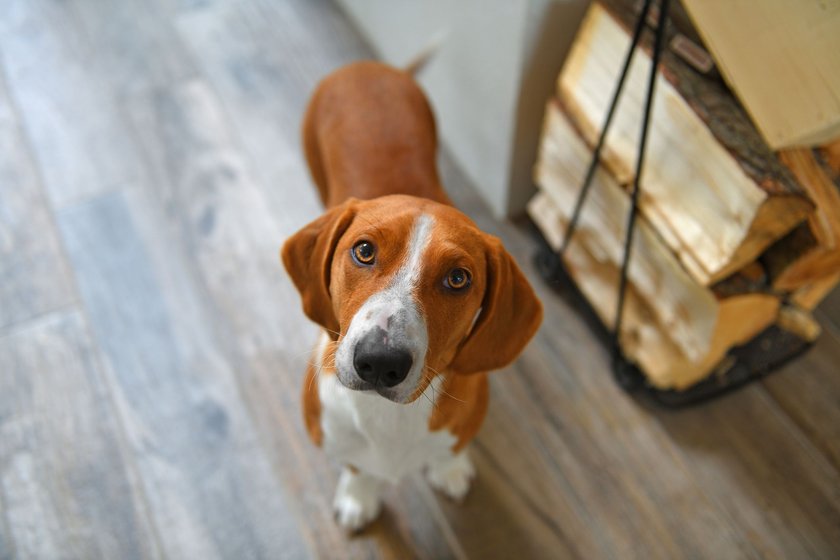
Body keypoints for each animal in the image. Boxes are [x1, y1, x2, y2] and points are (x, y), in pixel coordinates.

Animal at [282, 61, 544, 528]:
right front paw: (359, 495)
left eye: (458, 278)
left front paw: (450, 470)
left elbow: (451, 449)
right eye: (364, 251)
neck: (389, 419)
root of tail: (372, 66)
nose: (379, 361)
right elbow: (357, 466)